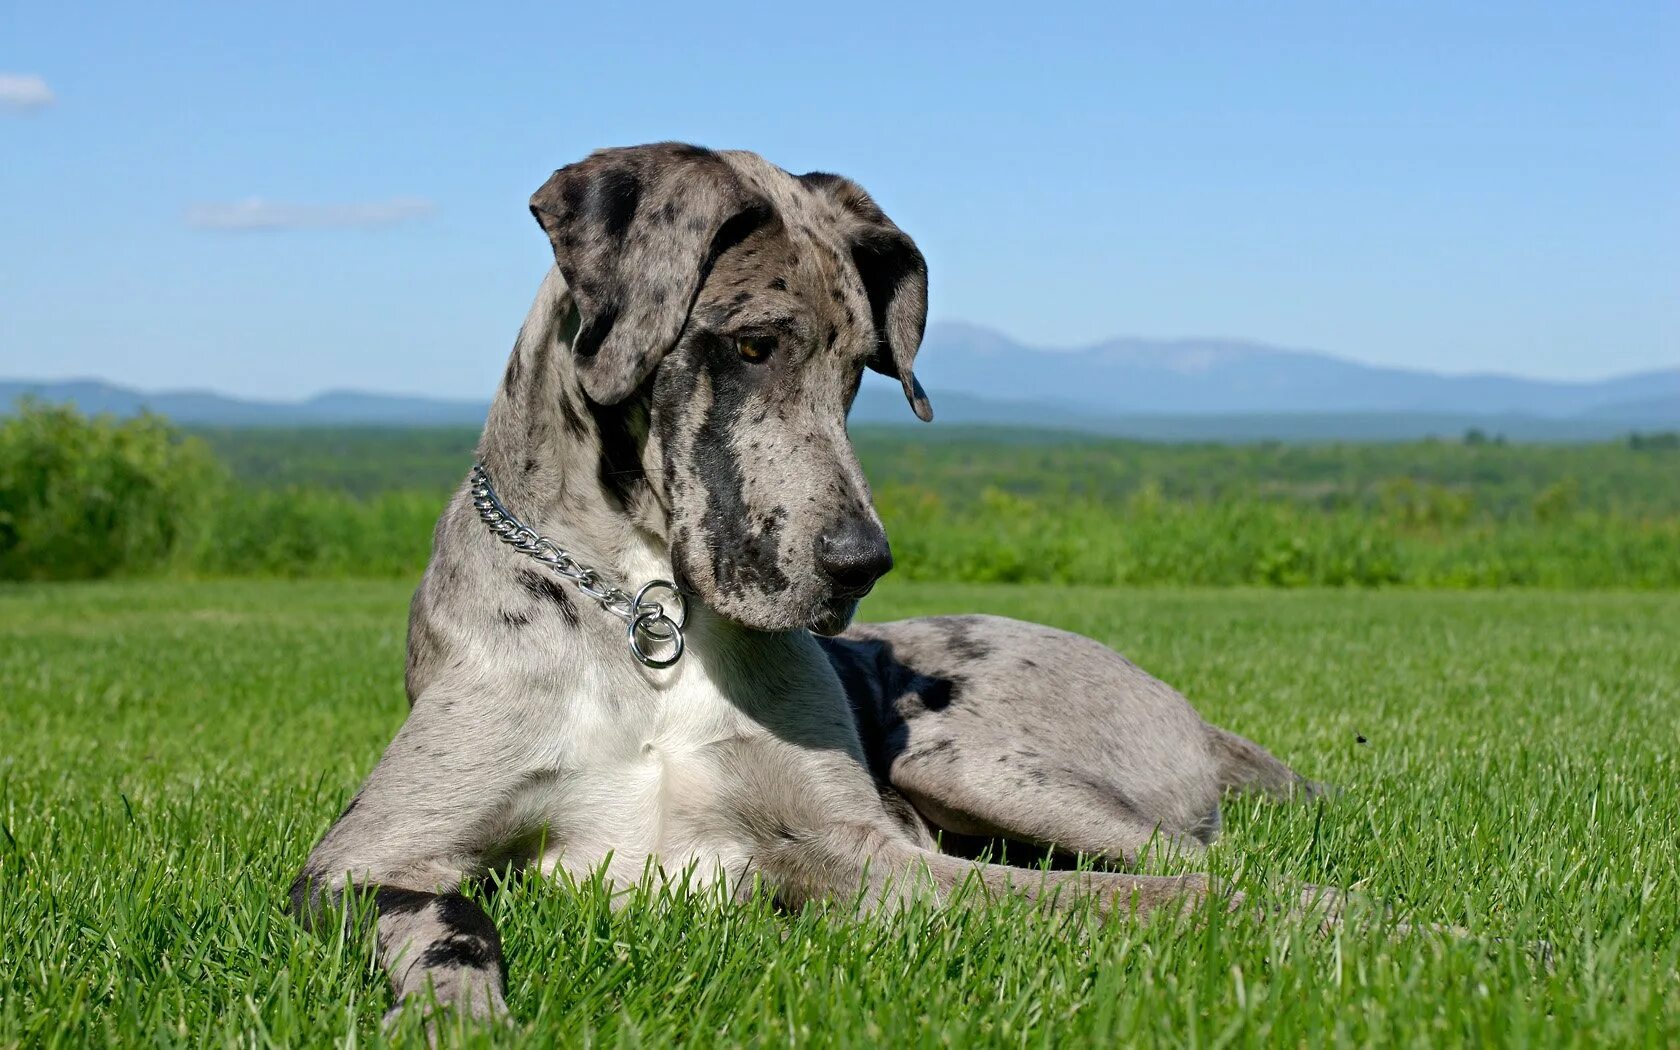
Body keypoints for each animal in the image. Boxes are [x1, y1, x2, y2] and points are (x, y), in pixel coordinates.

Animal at [285, 143, 1310, 1021]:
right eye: (751, 346)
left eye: (860, 368)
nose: (864, 563)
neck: (646, 616)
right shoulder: (362, 860)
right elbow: (451, 921)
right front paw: (456, 1014)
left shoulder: (869, 855)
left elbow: (1136, 896)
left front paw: (1311, 914)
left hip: (964, 760)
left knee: (1196, 854)